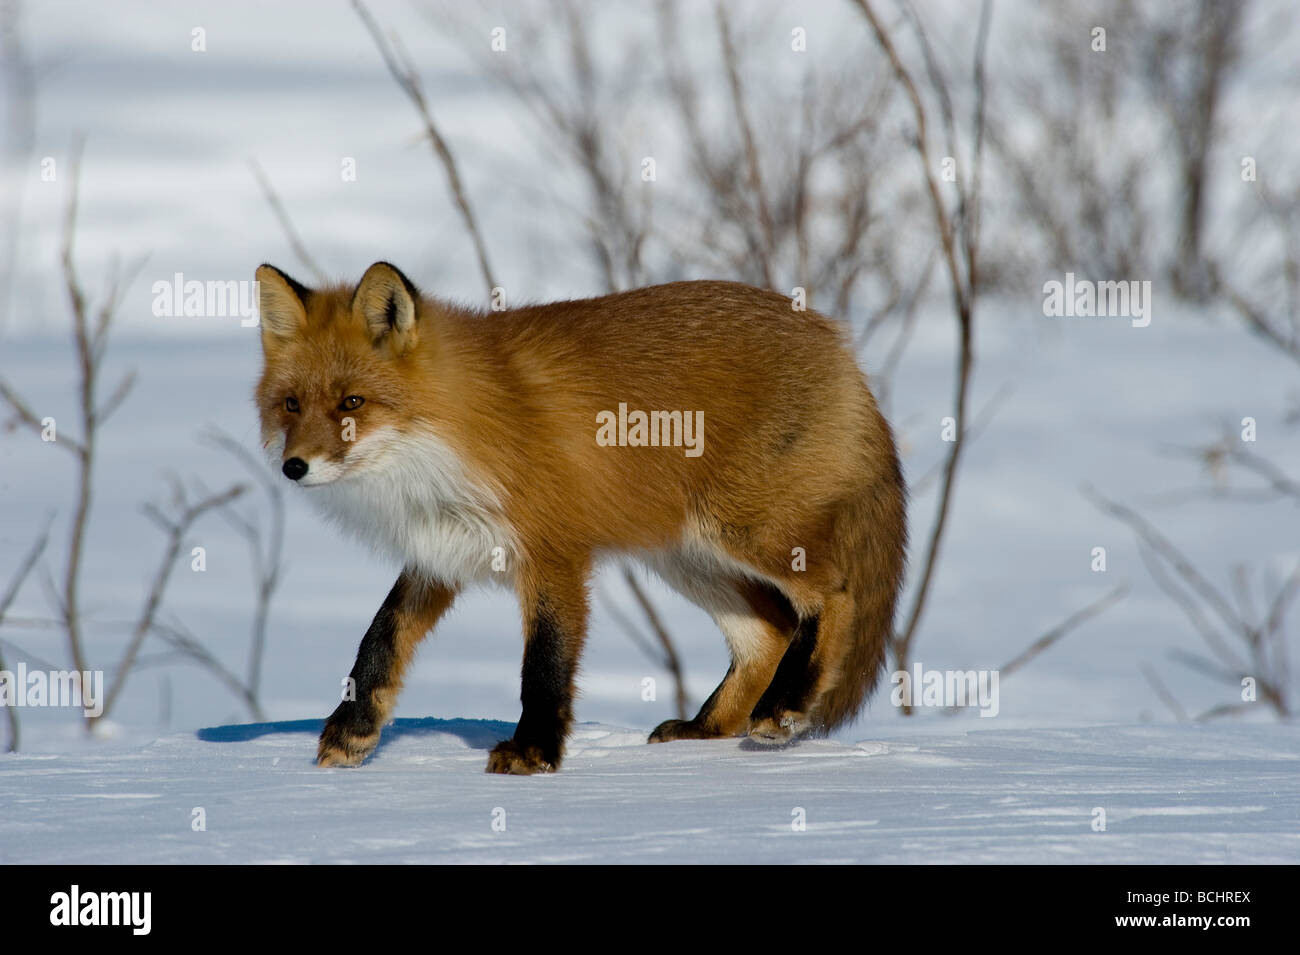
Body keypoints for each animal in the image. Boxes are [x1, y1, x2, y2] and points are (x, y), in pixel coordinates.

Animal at [253, 263, 904, 779]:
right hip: (685, 556)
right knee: (767, 632)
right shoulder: (441, 549)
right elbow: (380, 639)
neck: (449, 438)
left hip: (747, 533)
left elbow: (544, 664)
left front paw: (533, 753)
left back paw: (782, 706)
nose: (293, 467)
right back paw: (704, 729)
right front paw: (352, 732)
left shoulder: (552, 552)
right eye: (291, 405)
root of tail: (834, 339)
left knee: (834, 595)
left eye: (352, 403)